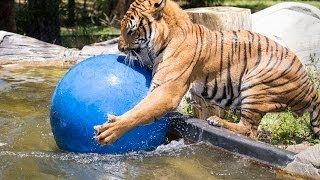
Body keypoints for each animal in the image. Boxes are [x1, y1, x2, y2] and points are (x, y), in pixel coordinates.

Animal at [94, 0, 318, 145]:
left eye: (130, 30)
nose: (120, 48)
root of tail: (310, 89)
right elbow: (141, 109)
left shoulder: (167, 90)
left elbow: (140, 112)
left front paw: (109, 131)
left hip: (256, 83)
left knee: (249, 130)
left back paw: (217, 121)